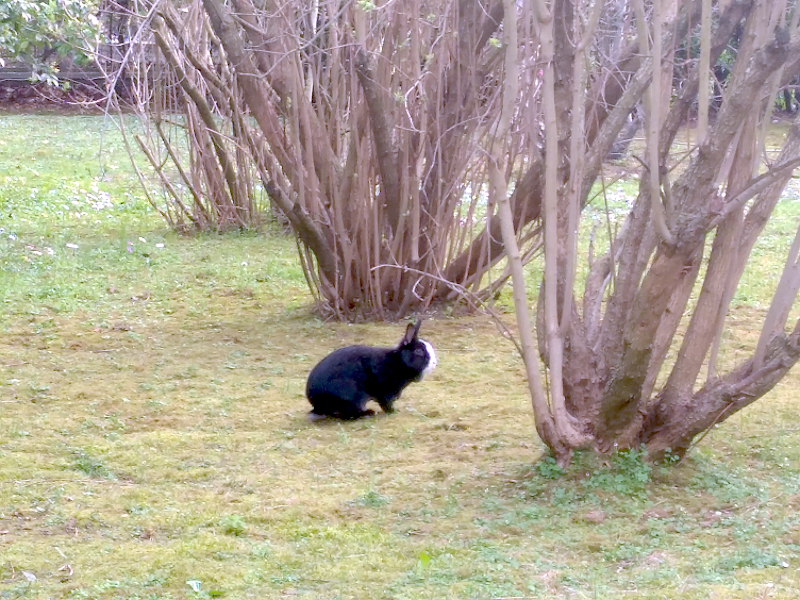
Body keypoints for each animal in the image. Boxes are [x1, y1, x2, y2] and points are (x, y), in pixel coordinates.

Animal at [306, 320, 437, 421]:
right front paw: (394, 411)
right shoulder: (385, 392)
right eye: (419, 351)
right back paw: (368, 413)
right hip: (351, 396)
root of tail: (316, 405)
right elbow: (386, 404)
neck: (399, 361)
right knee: (348, 415)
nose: (435, 363)